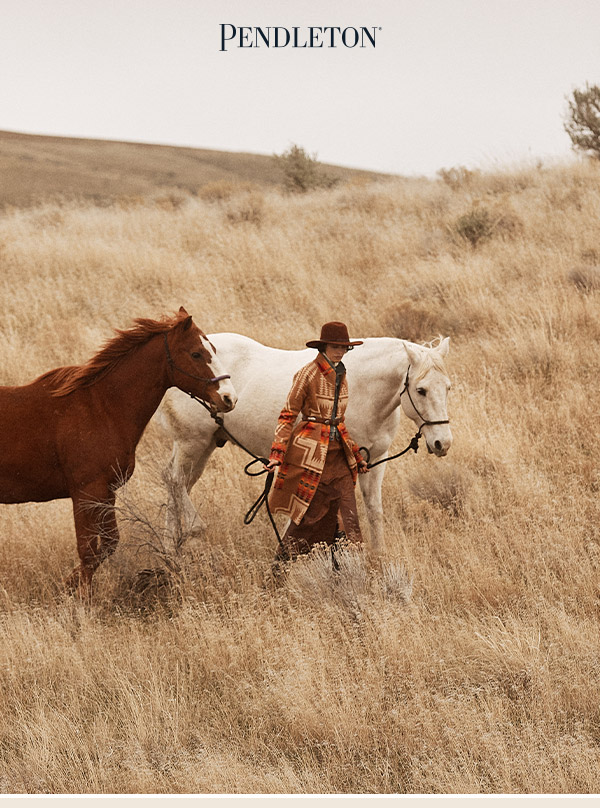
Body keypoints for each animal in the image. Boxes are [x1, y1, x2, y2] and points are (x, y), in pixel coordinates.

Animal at [0, 304, 238, 592]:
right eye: (196, 353)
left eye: (212, 349)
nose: (229, 398)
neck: (101, 407)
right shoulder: (86, 494)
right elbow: (89, 551)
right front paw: (79, 596)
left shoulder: (106, 493)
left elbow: (108, 545)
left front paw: (70, 584)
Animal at [157, 332, 452, 548]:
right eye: (421, 390)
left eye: (448, 387)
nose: (443, 443)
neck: (364, 391)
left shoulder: (376, 460)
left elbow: (373, 511)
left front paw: (378, 557)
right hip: (191, 442)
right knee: (174, 479)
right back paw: (188, 534)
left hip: (204, 445)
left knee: (178, 484)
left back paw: (172, 546)